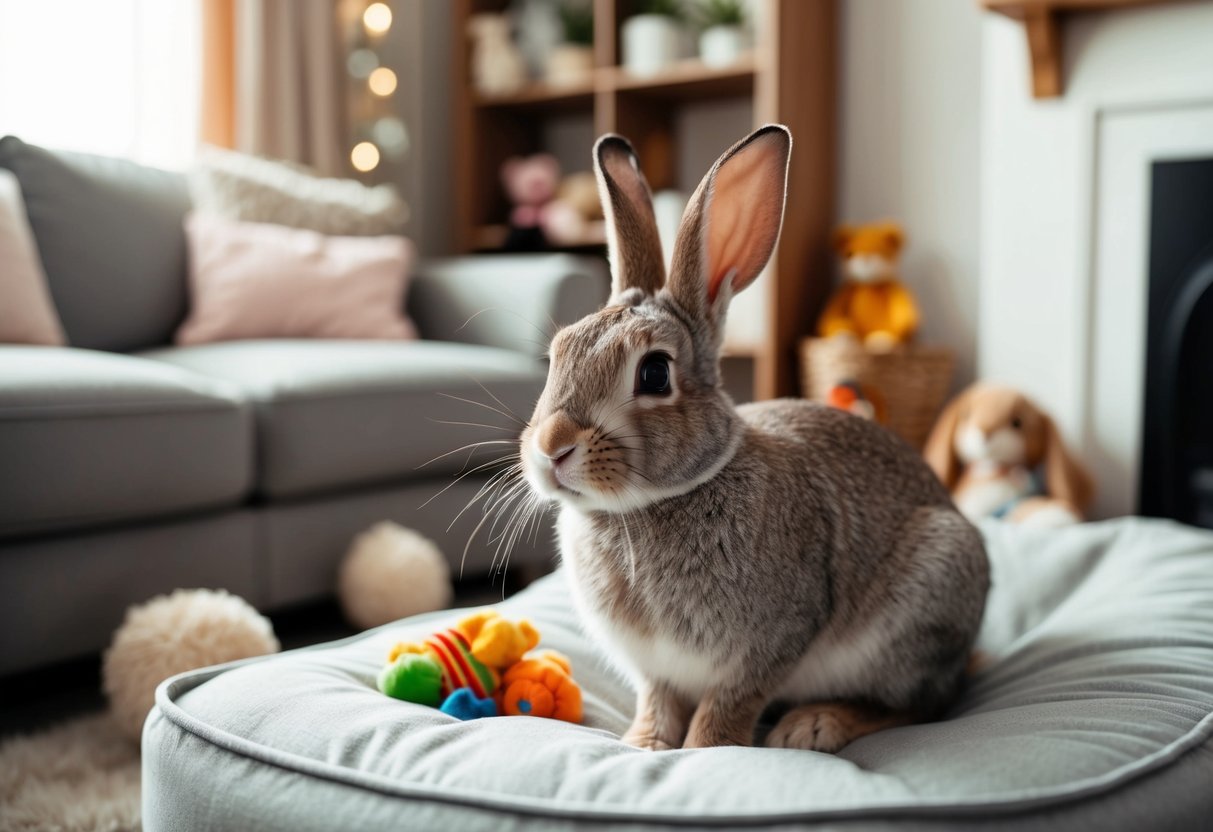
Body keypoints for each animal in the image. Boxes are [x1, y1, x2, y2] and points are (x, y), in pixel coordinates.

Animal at [518, 125, 990, 753]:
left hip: (923, 602)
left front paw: (702, 751)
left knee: (923, 705)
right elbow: (657, 702)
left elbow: (727, 707)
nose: (551, 448)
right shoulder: (656, 670)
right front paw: (643, 746)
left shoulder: (770, 642)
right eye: (557, 354)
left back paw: (814, 725)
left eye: (654, 374)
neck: (651, 505)